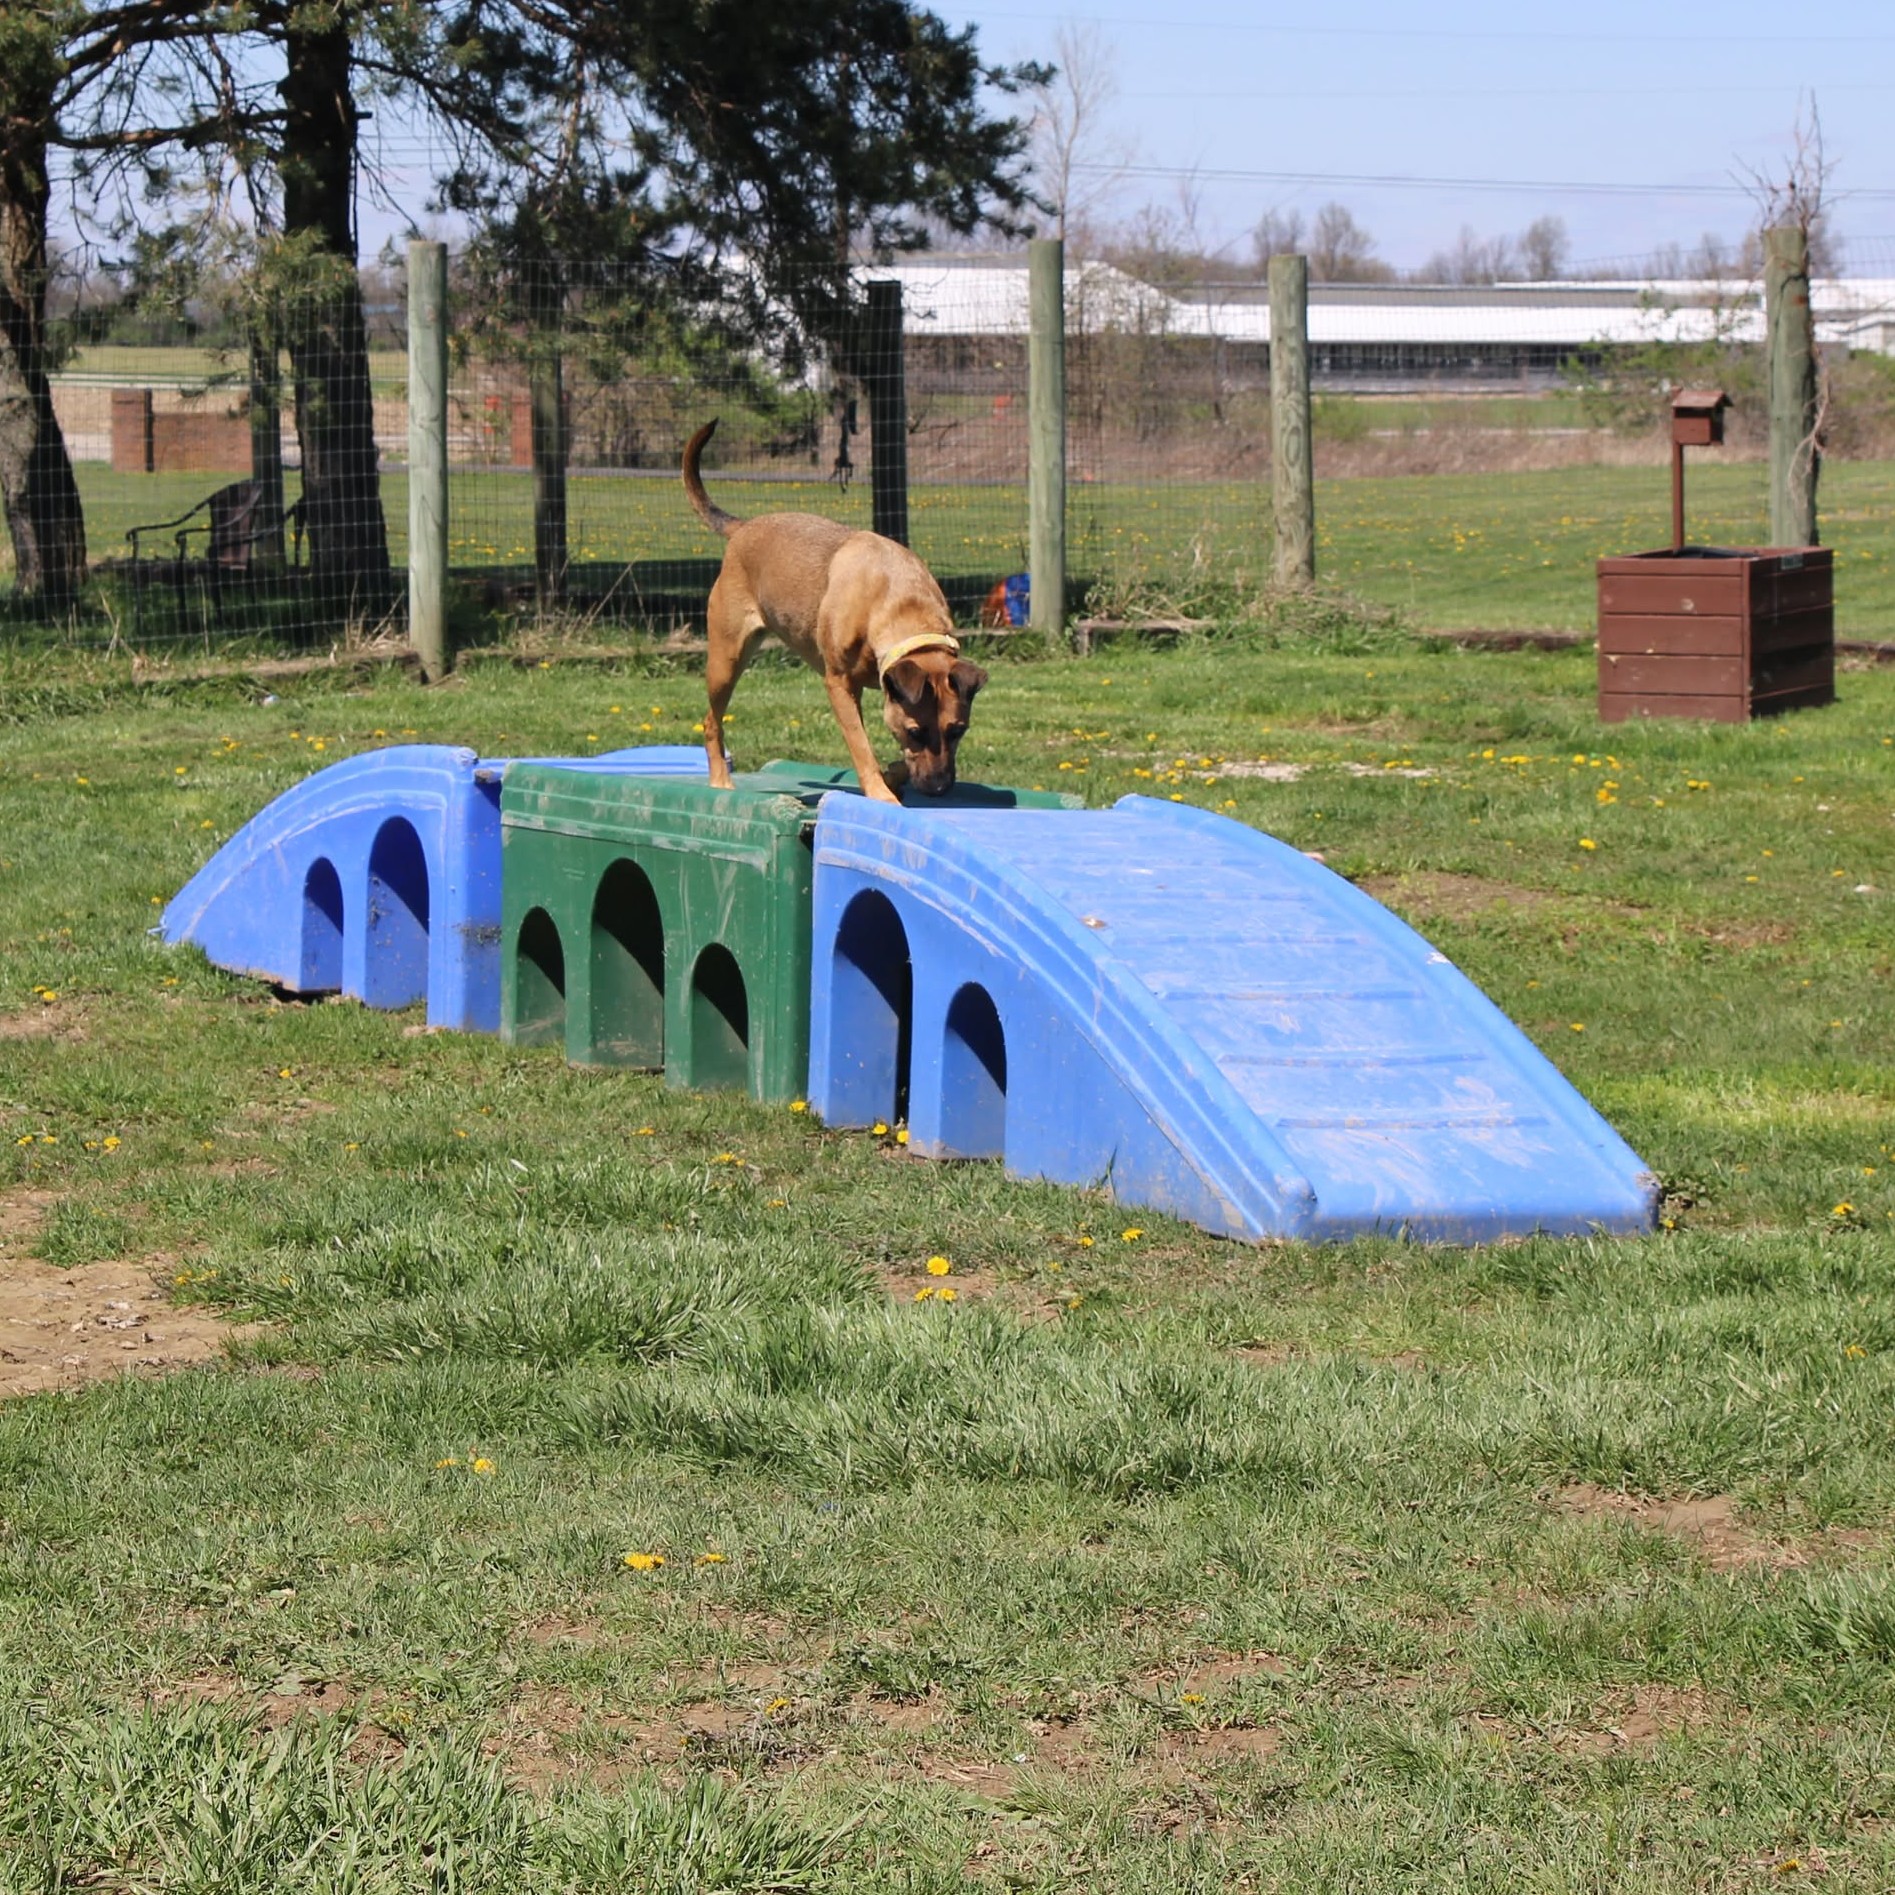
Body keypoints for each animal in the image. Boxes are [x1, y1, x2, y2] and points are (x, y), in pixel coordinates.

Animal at [683, 419, 987, 803]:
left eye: (958, 730)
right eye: (916, 731)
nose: (939, 788)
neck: (899, 604)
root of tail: (743, 527)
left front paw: (893, 775)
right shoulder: (840, 684)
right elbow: (861, 746)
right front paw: (882, 793)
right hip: (726, 659)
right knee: (711, 722)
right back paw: (721, 781)